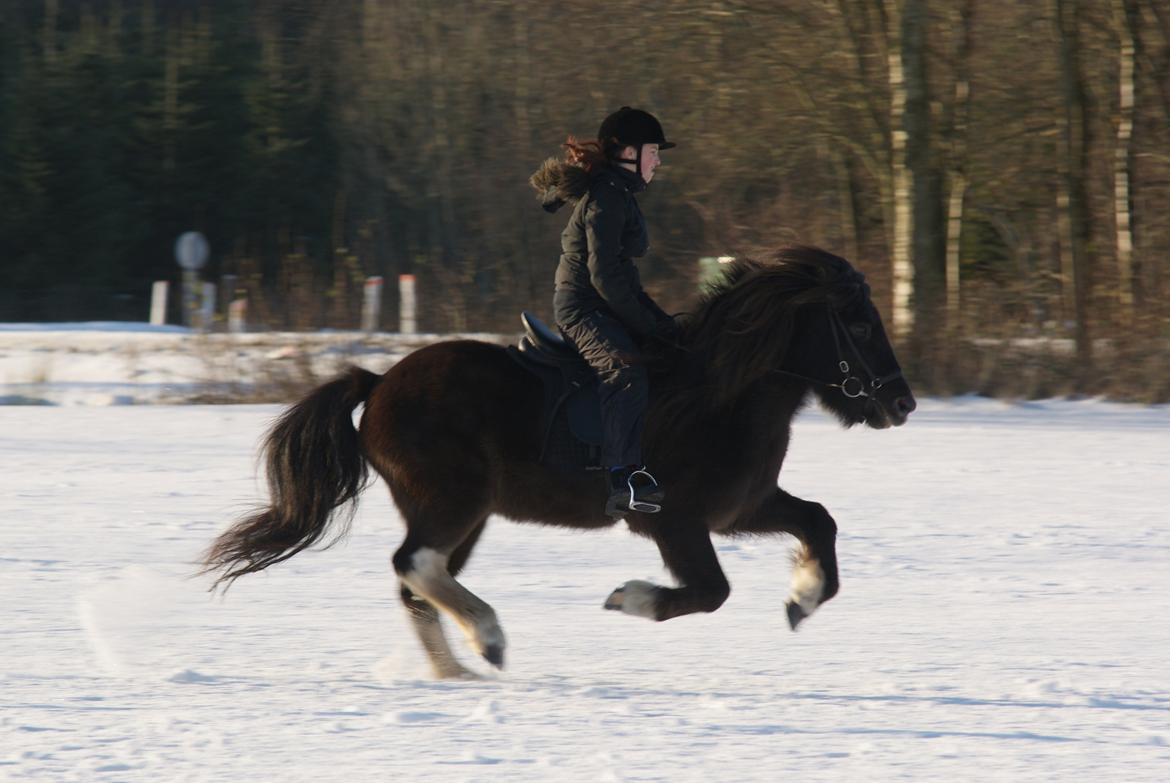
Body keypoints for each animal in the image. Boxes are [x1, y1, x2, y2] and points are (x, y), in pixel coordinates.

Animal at [201, 245, 912, 678]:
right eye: (857, 323)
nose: (901, 403)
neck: (721, 394)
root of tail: (377, 385)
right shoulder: (673, 520)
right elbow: (712, 591)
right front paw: (629, 598)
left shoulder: (742, 508)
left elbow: (818, 520)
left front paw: (802, 600)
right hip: (455, 499)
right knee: (415, 564)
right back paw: (487, 640)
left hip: (464, 511)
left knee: (417, 581)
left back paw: (458, 671)